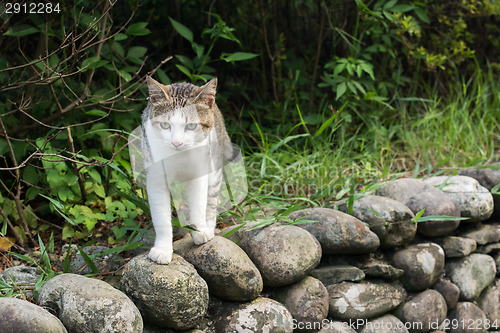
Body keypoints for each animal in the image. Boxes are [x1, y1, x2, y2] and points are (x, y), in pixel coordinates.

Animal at [142, 76, 229, 264]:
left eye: (190, 126)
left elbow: (198, 203)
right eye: (165, 125)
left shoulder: (200, 172)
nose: (177, 143)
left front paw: (200, 231)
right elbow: (161, 216)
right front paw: (163, 249)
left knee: (211, 200)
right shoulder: (156, 178)